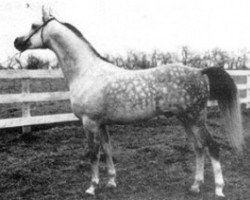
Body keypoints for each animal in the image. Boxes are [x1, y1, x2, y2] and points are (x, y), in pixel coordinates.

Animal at [13, 6, 244, 197]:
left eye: (33, 25)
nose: (16, 41)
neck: (87, 72)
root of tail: (200, 72)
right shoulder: (102, 123)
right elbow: (107, 150)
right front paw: (111, 182)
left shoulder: (89, 123)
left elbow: (93, 154)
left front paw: (92, 187)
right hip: (186, 119)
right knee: (199, 148)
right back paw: (196, 186)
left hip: (195, 118)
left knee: (212, 147)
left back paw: (219, 189)